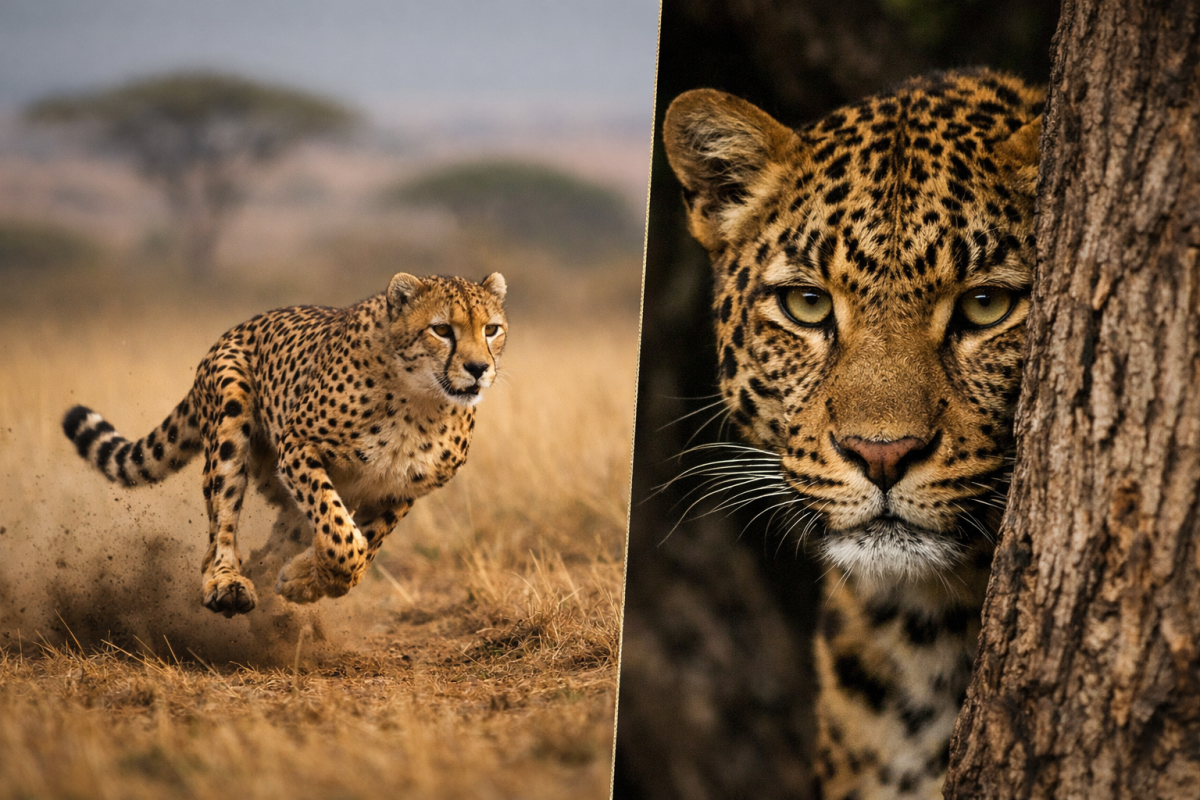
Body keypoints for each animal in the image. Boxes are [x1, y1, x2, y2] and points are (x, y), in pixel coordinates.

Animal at [63, 271, 507, 616]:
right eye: (442, 329)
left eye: (492, 329)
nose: (478, 368)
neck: (420, 400)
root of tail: (237, 328)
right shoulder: (298, 445)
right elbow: (340, 532)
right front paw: (319, 572)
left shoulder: (400, 489)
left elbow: (365, 541)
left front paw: (304, 579)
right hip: (231, 419)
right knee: (221, 528)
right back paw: (227, 582)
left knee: (273, 545)